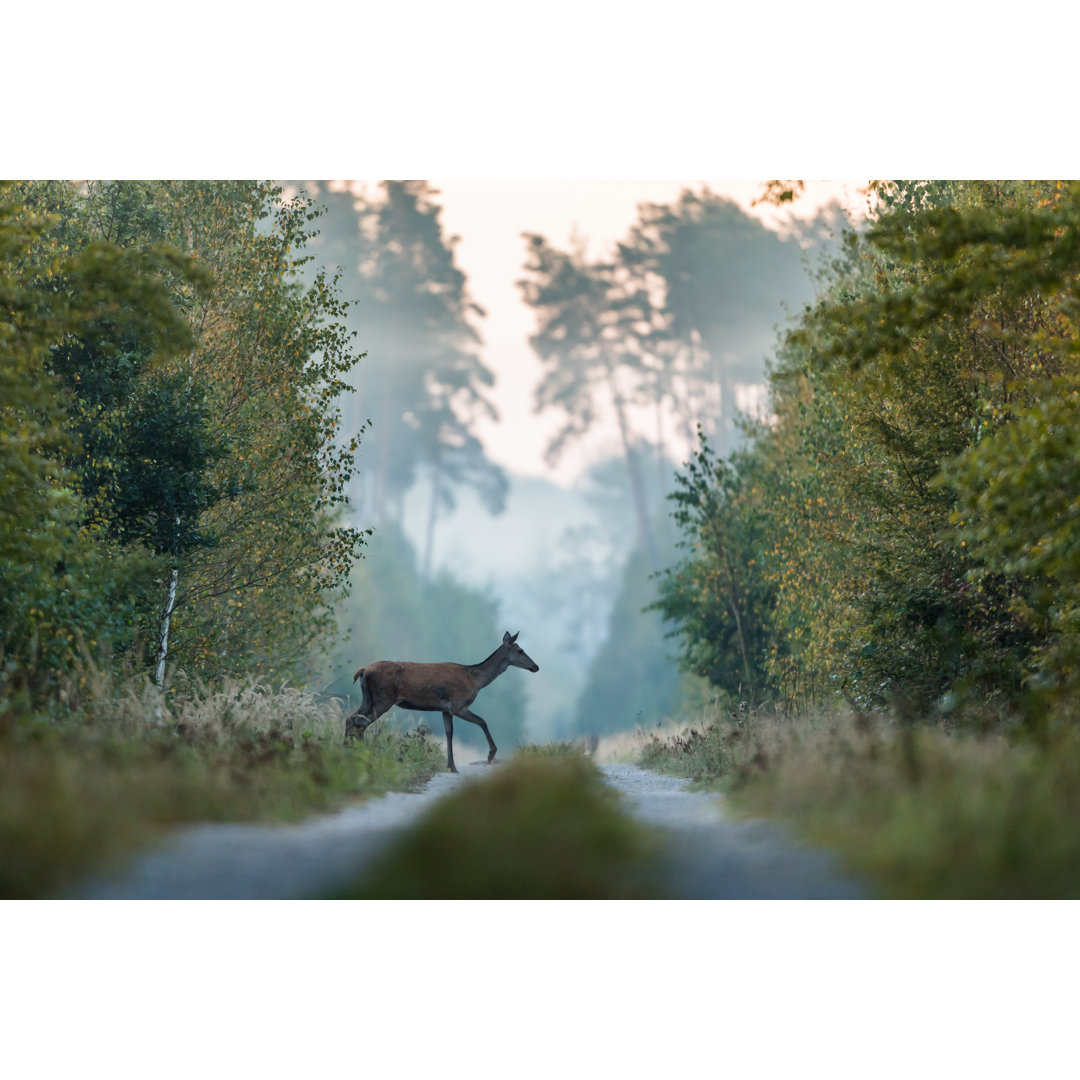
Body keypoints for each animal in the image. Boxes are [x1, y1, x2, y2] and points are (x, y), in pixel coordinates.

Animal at [345, 630, 540, 773]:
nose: (536, 666)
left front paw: (451, 766)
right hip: (383, 698)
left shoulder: (445, 709)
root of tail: (363, 670)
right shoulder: (458, 705)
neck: (475, 680)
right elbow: (482, 722)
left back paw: (348, 750)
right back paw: (359, 753)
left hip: (368, 699)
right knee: (360, 722)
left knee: (352, 719)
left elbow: (449, 733)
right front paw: (490, 755)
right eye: (520, 650)